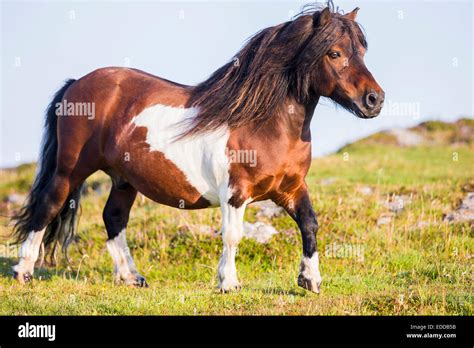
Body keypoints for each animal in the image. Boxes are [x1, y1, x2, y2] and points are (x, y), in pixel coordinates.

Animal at [12, 6, 386, 294]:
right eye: (334, 53)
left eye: (363, 52)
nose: (375, 100)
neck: (264, 124)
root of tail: (77, 83)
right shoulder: (235, 193)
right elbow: (233, 236)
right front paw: (228, 283)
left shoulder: (291, 189)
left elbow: (309, 224)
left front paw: (310, 280)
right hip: (71, 169)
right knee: (47, 207)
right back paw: (23, 271)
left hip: (123, 179)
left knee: (113, 218)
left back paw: (131, 277)